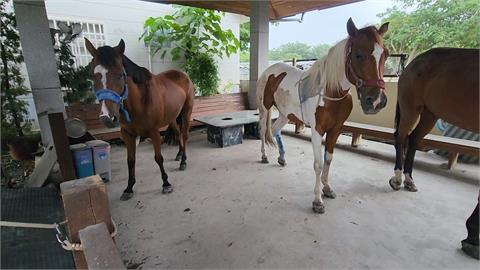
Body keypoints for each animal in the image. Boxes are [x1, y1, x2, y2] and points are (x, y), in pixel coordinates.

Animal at [85, 38, 194, 200]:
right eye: (93, 76)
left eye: (121, 75)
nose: (107, 117)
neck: (141, 100)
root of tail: (183, 75)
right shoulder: (127, 134)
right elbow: (130, 161)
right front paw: (129, 188)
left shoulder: (154, 132)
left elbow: (158, 157)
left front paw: (166, 184)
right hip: (172, 117)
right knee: (178, 133)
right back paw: (179, 154)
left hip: (186, 112)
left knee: (184, 135)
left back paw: (183, 161)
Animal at [258, 18, 390, 213]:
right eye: (358, 55)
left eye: (386, 54)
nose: (375, 101)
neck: (331, 92)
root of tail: (270, 70)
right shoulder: (317, 130)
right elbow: (318, 163)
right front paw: (317, 200)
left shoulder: (335, 129)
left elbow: (328, 159)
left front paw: (327, 188)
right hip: (264, 109)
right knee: (262, 131)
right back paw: (264, 156)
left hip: (285, 114)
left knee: (274, 130)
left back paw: (281, 157)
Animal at [386, 48, 480, 258]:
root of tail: (412, 63)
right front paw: (472, 237)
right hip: (412, 106)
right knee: (401, 137)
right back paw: (397, 178)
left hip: (431, 112)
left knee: (413, 139)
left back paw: (409, 180)